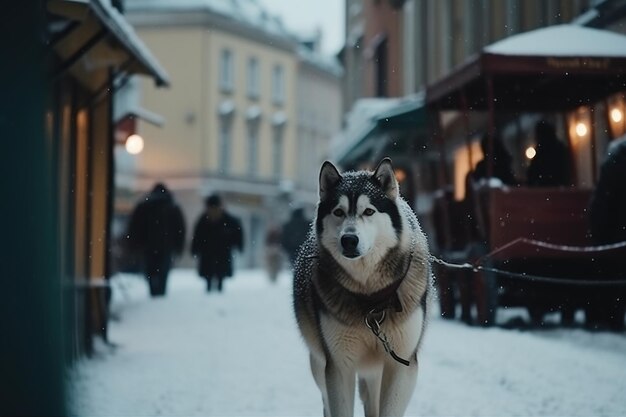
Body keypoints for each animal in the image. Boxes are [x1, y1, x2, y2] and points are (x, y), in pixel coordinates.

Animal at [292, 158, 428, 416]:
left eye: (369, 211)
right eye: (338, 212)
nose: (349, 240)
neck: (371, 297)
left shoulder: (402, 364)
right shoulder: (338, 365)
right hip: (318, 362)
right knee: (326, 400)